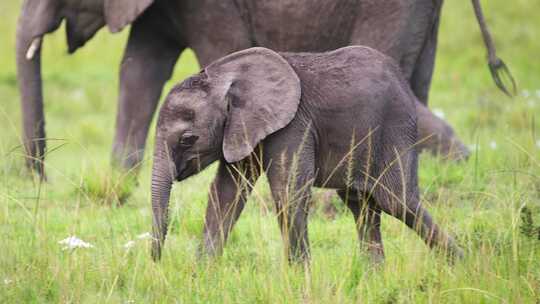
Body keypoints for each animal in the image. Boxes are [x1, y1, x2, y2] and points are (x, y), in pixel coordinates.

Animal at [150, 46, 462, 262]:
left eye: (188, 139)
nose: (157, 262)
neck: (224, 75)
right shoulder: (242, 130)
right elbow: (226, 193)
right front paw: (201, 273)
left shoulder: (293, 124)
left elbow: (288, 193)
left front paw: (301, 278)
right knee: (361, 204)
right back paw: (375, 276)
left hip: (395, 126)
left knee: (396, 201)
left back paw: (461, 264)